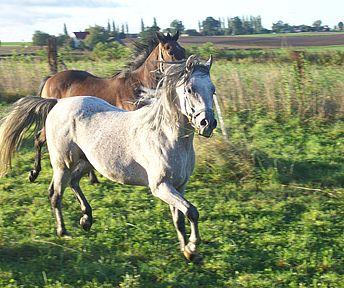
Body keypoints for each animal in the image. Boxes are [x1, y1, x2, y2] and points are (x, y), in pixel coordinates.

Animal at [0, 55, 216, 260]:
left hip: (86, 162)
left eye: (212, 90)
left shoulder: (179, 185)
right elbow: (192, 212)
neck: (166, 135)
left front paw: (187, 252)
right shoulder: (161, 186)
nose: (208, 123)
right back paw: (63, 231)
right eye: (190, 89)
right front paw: (193, 247)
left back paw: (86, 219)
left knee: (73, 182)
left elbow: (179, 219)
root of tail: (58, 103)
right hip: (63, 164)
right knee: (56, 194)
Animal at [29, 31, 185, 183]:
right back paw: (34, 173)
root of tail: (50, 79)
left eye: (182, 50)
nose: (185, 75)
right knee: (38, 139)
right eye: (170, 51)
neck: (138, 86)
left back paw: (92, 178)